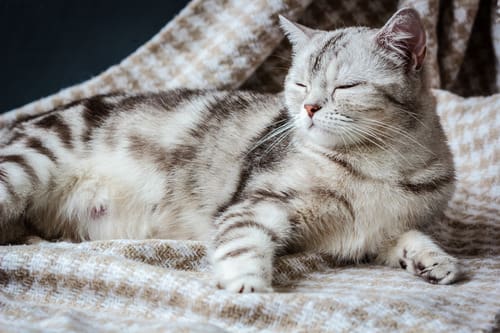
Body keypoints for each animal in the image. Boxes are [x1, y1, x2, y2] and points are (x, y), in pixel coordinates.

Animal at [0, 7, 460, 290]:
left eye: (346, 86)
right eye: (300, 84)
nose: (309, 107)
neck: (375, 165)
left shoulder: (375, 231)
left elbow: (408, 236)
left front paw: (432, 259)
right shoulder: (260, 200)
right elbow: (243, 240)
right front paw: (246, 285)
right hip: (27, 165)